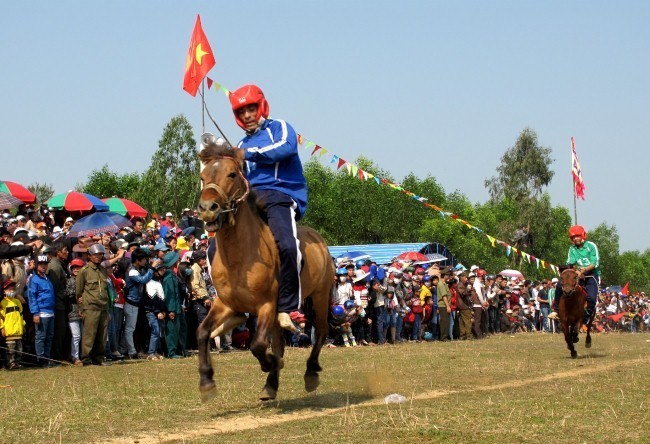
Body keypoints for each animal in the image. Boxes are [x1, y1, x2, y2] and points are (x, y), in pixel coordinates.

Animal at [195, 133, 332, 402]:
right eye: (203, 177)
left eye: (232, 174)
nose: (207, 209)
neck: (239, 258)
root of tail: (319, 240)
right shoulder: (224, 303)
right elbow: (202, 332)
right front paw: (206, 381)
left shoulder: (266, 305)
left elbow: (257, 345)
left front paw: (271, 363)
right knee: (280, 342)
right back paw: (271, 385)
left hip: (321, 296)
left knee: (320, 332)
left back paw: (310, 372)